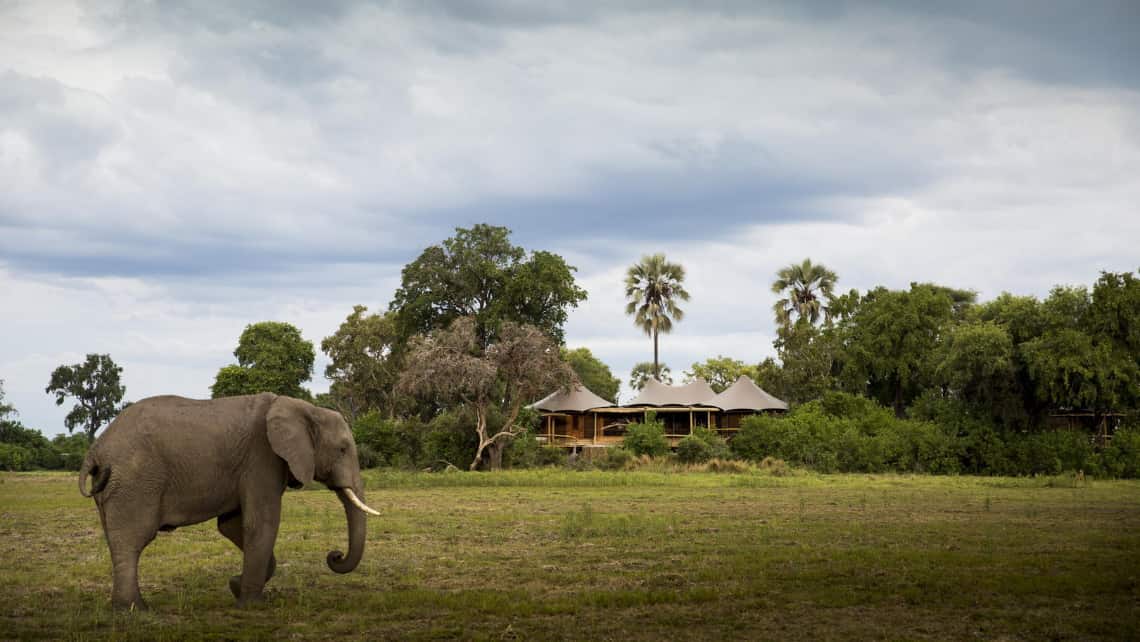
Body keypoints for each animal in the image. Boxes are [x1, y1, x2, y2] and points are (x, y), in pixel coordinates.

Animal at [76, 394, 378, 611]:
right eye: (342, 449)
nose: (334, 555)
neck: (303, 407)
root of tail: (95, 450)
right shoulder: (262, 458)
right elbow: (262, 523)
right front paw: (252, 606)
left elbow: (232, 525)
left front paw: (235, 586)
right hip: (135, 481)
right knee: (133, 539)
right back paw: (134, 610)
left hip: (115, 485)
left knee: (117, 539)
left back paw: (123, 608)